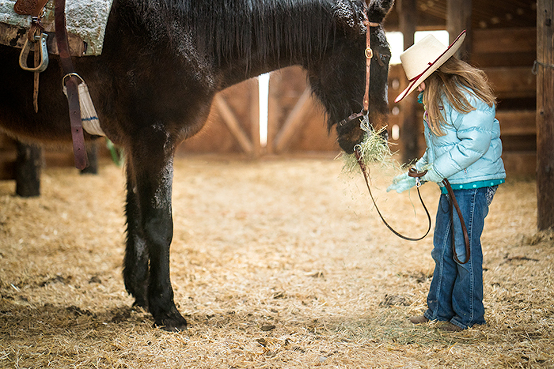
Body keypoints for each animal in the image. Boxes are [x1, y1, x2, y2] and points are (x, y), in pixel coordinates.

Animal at [0, 0, 392, 330]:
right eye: (382, 56)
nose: (375, 132)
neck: (183, 27)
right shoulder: (154, 139)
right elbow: (159, 224)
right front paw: (166, 309)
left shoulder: (136, 145)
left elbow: (137, 217)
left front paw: (141, 295)